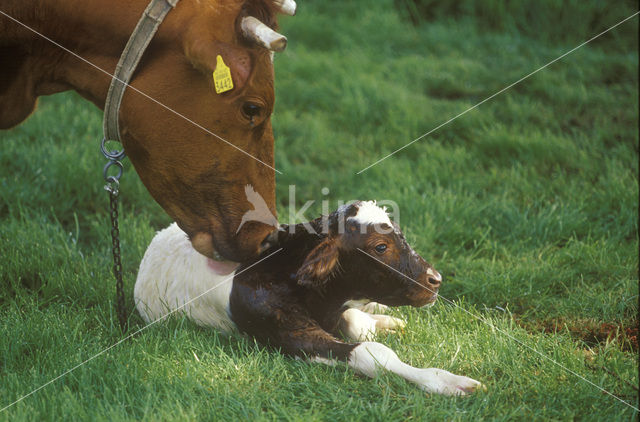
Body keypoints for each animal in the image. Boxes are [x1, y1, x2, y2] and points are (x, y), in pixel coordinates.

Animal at [136, 201, 484, 396]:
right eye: (380, 246)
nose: (435, 280)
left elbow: (357, 326)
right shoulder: (288, 333)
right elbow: (371, 353)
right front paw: (449, 382)